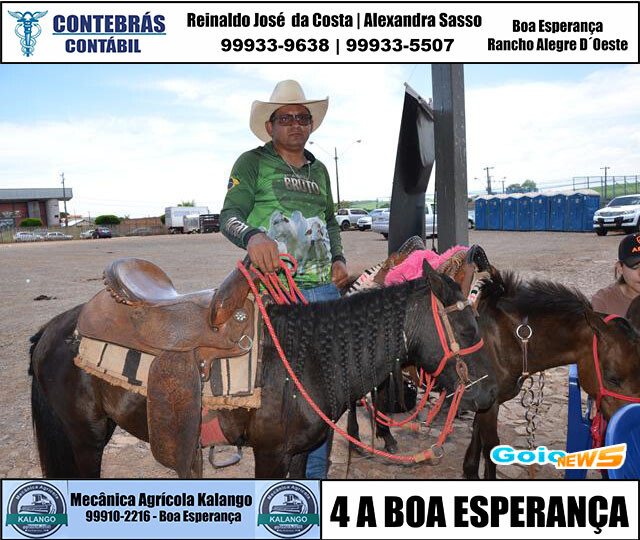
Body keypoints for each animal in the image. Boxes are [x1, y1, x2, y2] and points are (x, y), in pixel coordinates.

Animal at [29, 259, 498, 479]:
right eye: (464, 325)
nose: (488, 392)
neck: (310, 360)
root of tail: (53, 328)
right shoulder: (269, 454)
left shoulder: (298, 453)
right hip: (85, 436)